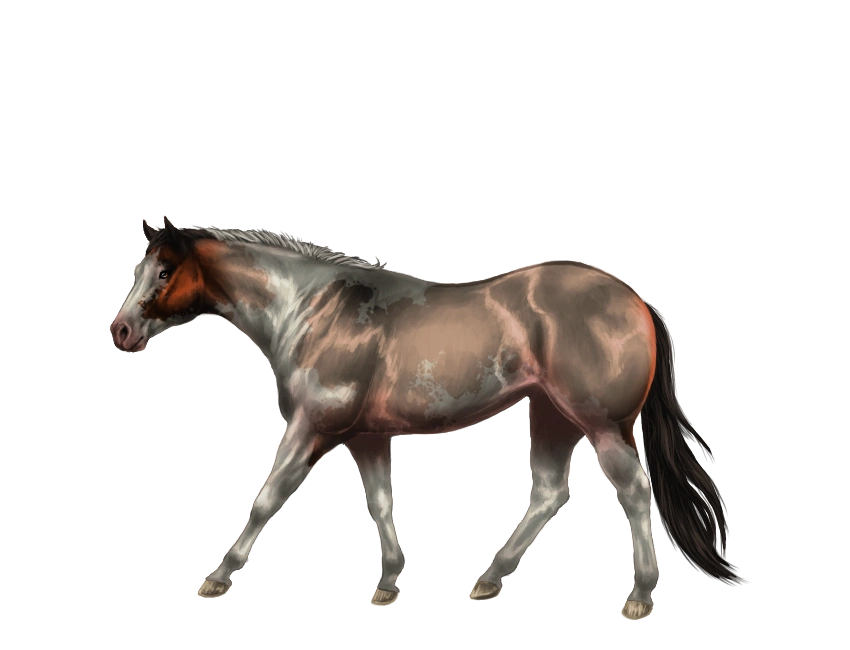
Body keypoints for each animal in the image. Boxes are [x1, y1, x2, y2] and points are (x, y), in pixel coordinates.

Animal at [110, 217, 747, 619]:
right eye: (142, 267)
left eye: (164, 271)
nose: (121, 330)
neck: (313, 309)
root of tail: (632, 297)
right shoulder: (366, 436)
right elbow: (378, 503)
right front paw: (388, 585)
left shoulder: (313, 428)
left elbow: (266, 499)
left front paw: (217, 578)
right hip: (552, 415)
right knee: (548, 493)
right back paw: (487, 581)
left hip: (600, 424)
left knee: (635, 491)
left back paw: (638, 596)